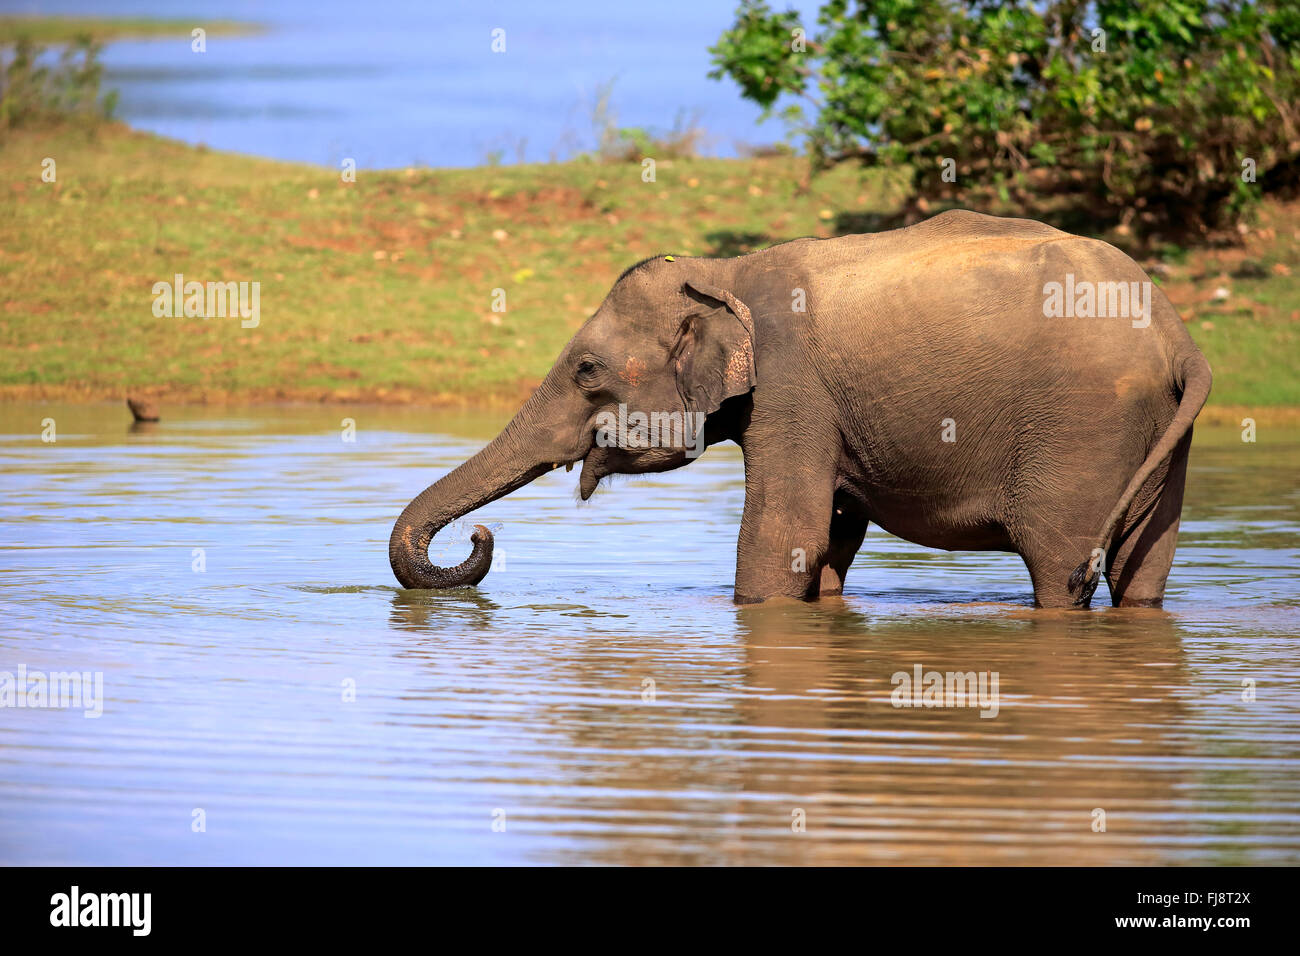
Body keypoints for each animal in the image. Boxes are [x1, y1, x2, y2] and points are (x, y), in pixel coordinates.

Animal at [390, 212, 1211, 608]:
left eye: (586, 369)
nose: (483, 536)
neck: (722, 272)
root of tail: (1179, 339)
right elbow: (830, 540)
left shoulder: (793, 389)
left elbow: (785, 536)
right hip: (1159, 438)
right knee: (1143, 570)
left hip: (1080, 427)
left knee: (1059, 565)